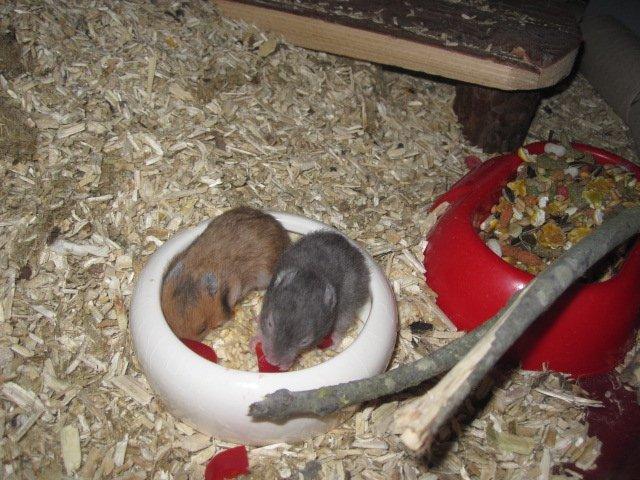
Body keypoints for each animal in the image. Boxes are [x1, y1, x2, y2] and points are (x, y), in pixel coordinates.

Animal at [258, 230, 370, 370]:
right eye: (269, 323)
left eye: (305, 341)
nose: (273, 362)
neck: (313, 272)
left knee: (343, 323)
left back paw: (335, 344)